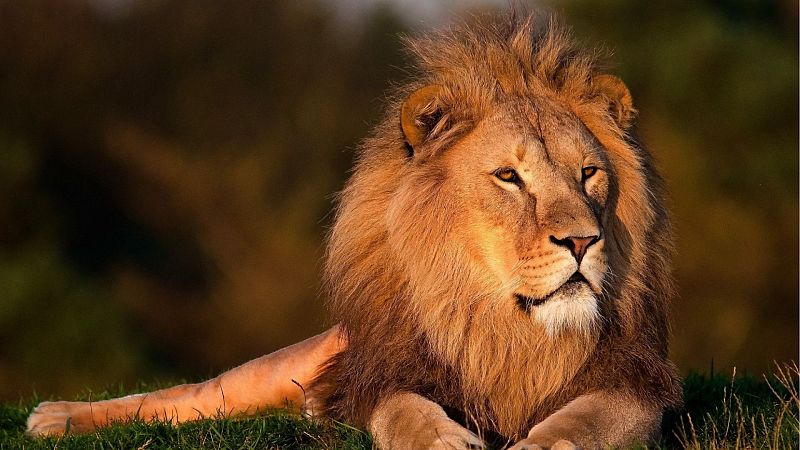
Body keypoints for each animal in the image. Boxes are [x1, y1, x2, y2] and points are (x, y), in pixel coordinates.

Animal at [26, 13, 681, 449]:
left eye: (589, 173)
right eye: (508, 177)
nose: (583, 242)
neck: (504, 328)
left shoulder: (635, 384)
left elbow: (585, 420)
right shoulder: (382, 374)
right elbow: (403, 409)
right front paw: (440, 439)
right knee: (184, 397)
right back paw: (53, 417)